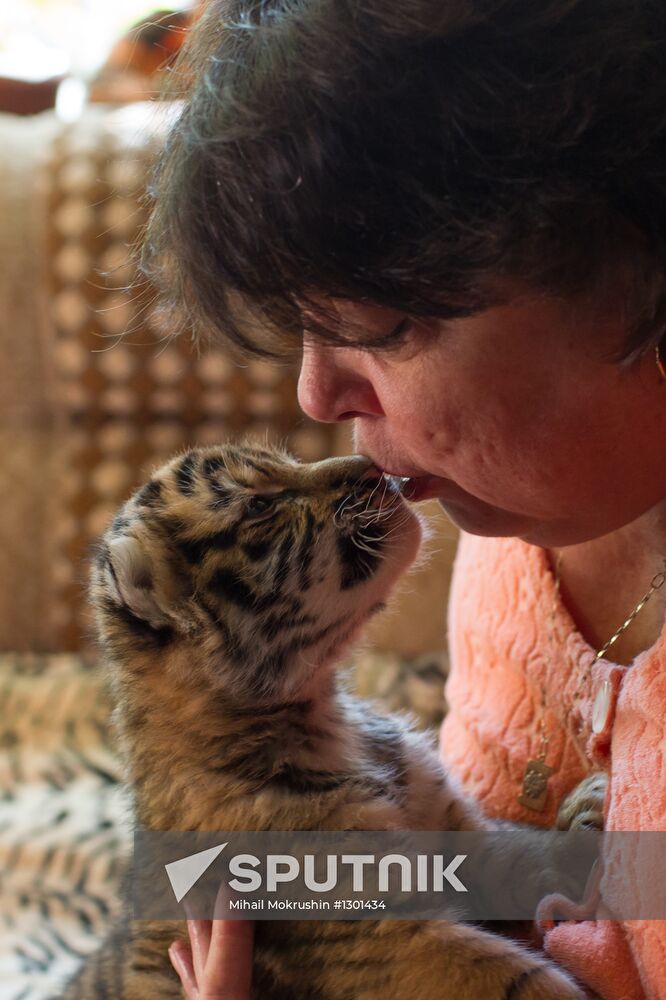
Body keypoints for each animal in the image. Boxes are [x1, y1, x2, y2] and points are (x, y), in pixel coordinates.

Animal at [57, 440, 598, 999]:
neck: (320, 709)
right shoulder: (386, 934)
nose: (371, 467)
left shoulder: (453, 828)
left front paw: (585, 818)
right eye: (258, 506)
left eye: (290, 461)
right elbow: (520, 979)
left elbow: (519, 850)